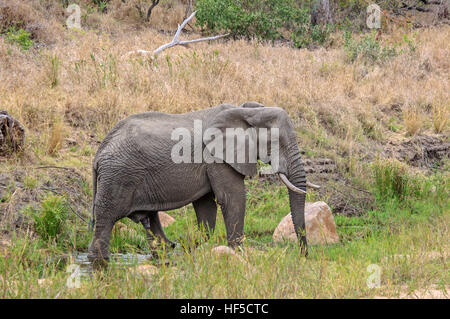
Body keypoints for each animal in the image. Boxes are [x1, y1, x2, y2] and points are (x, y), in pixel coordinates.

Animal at [89, 102, 312, 262]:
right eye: (276, 142)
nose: (303, 255)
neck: (248, 111)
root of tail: (98, 153)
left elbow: (206, 206)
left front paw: (190, 244)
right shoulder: (217, 158)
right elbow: (232, 198)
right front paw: (237, 254)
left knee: (150, 218)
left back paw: (167, 248)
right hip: (118, 177)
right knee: (106, 219)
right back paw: (100, 260)